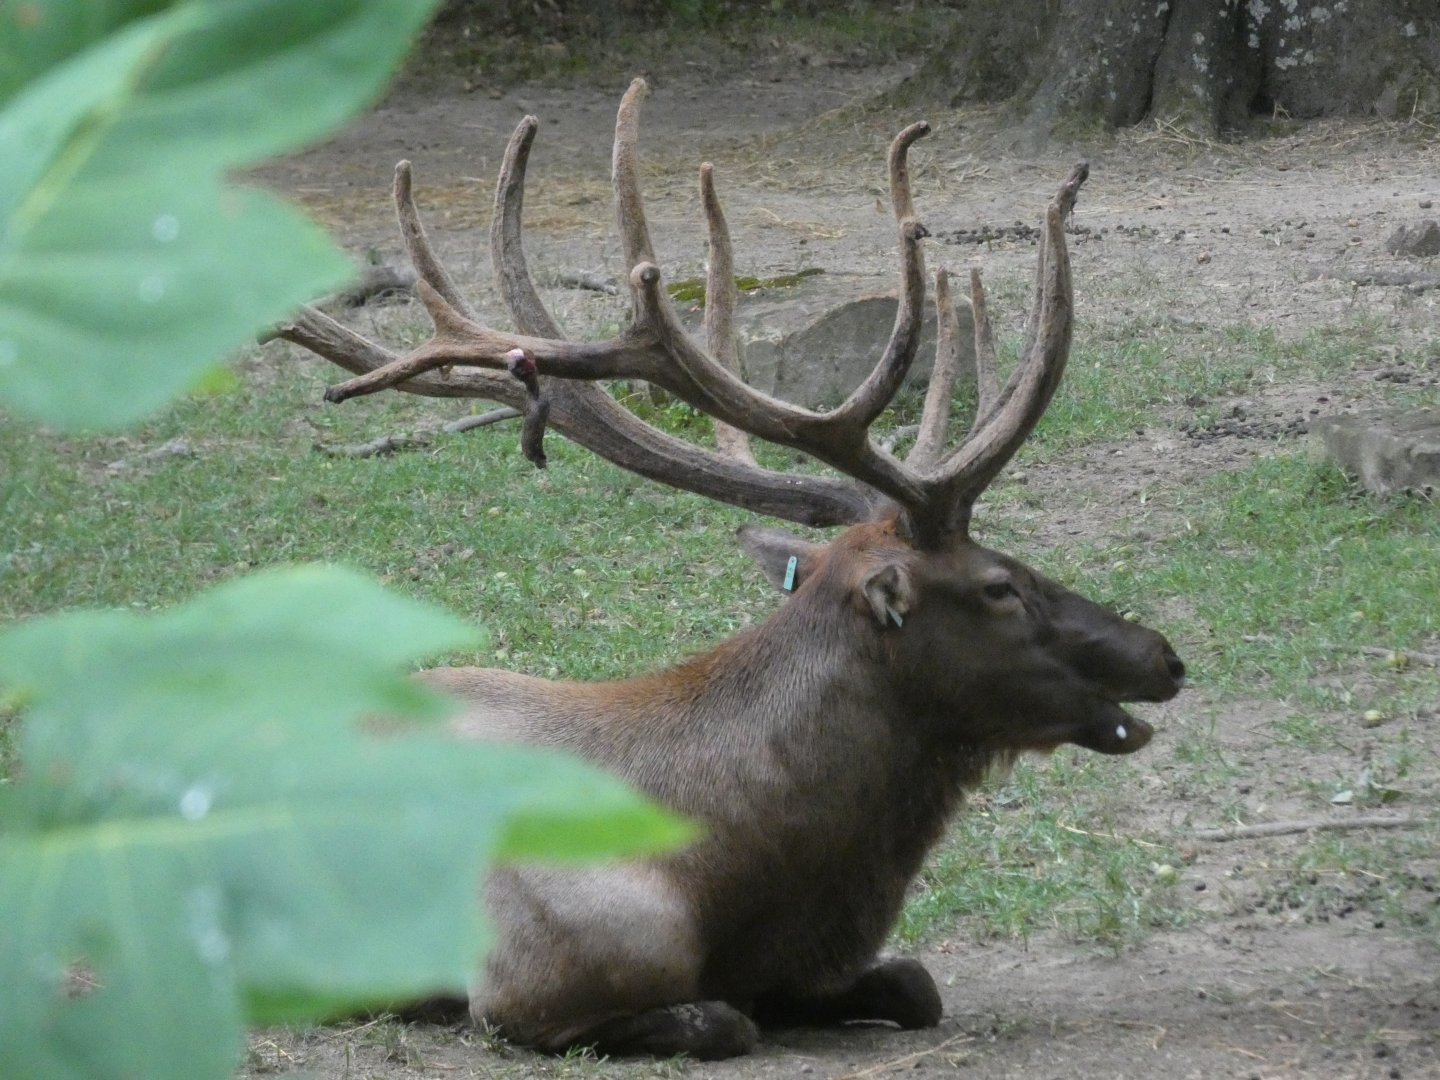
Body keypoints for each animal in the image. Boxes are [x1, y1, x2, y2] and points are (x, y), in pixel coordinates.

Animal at [273, 79, 1186, 1060]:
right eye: (1000, 586)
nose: (1164, 654)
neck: (745, 883)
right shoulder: (522, 987)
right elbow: (722, 1021)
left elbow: (916, 983)